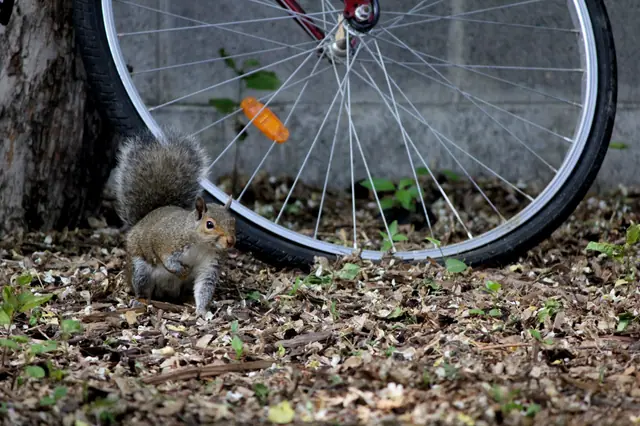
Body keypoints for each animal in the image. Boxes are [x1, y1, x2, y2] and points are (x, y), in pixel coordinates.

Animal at [112, 128, 236, 317]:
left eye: (234, 221)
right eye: (209, 224)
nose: (230, 241)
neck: (203, 245)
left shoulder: (210, 265)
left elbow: (204, 286)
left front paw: (202, 310)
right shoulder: (167, 241)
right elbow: (166, 259)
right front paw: (181, 270)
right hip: (140, 271)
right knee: (142, 288)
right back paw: (141, 300)